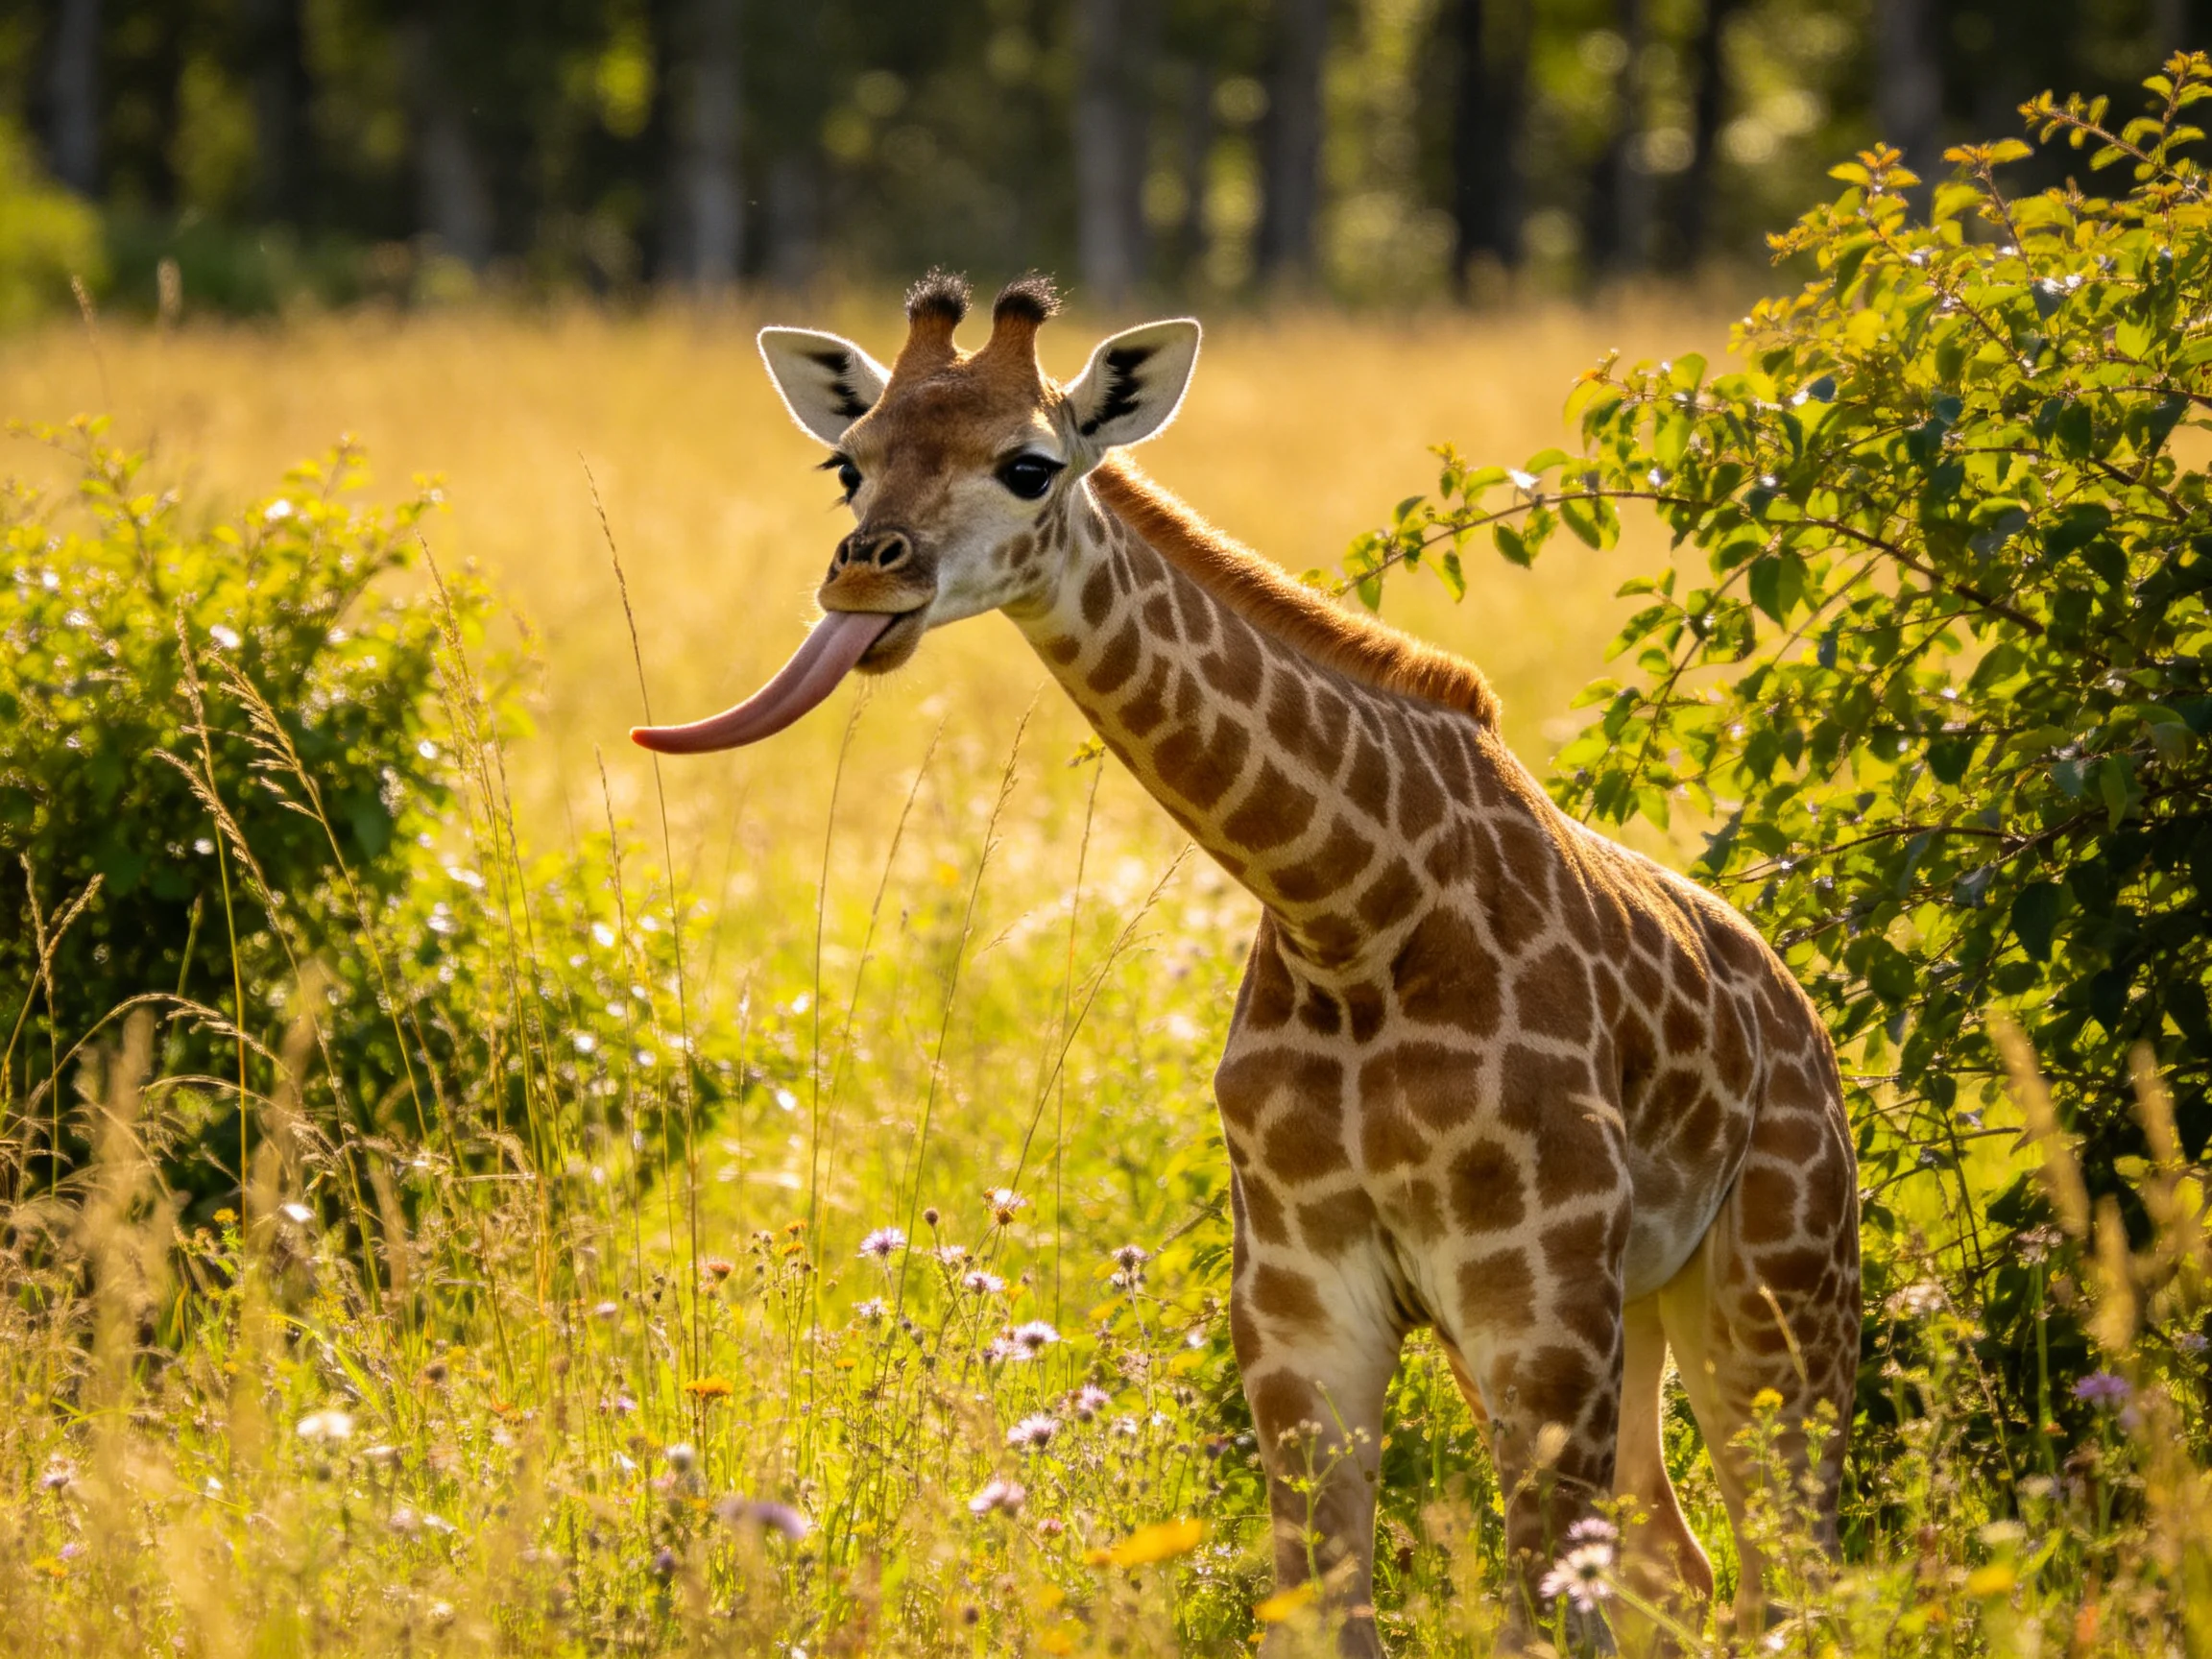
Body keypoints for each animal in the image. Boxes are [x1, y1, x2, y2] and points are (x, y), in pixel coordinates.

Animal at [634, 273, 1861, 1653]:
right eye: (847, 465)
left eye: (1029, 464)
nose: (862, 578)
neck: (1356, 921)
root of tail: (1803, 1017)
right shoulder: (1298, 1303)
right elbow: (1327, 1611)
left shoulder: (1536, 1299)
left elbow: (1541, 1618)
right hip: (1650, 1310)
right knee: (1682, 1564)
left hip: (1779, 1290)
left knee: (1791, 1572)